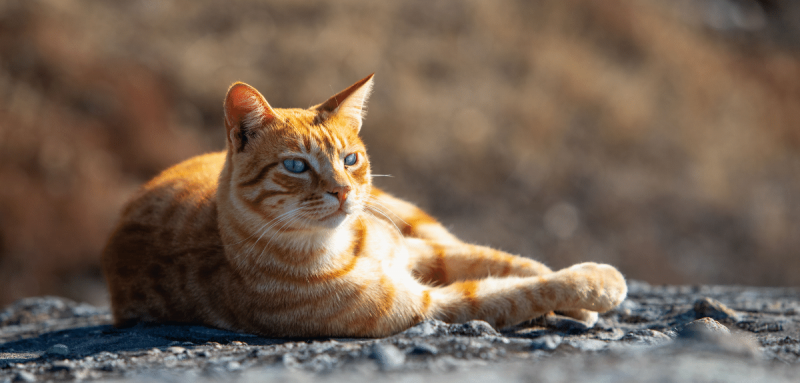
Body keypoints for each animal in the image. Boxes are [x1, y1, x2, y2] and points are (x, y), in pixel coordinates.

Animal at [101, 73, 624, 338]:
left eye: (350, 159)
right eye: (295, 166)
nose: (343, 191)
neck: (344, 245)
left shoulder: (418, 250)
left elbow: (509, 262)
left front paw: (576, 294)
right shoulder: (427, 305)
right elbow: (512, 291)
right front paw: (595, 284)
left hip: (410, 218)